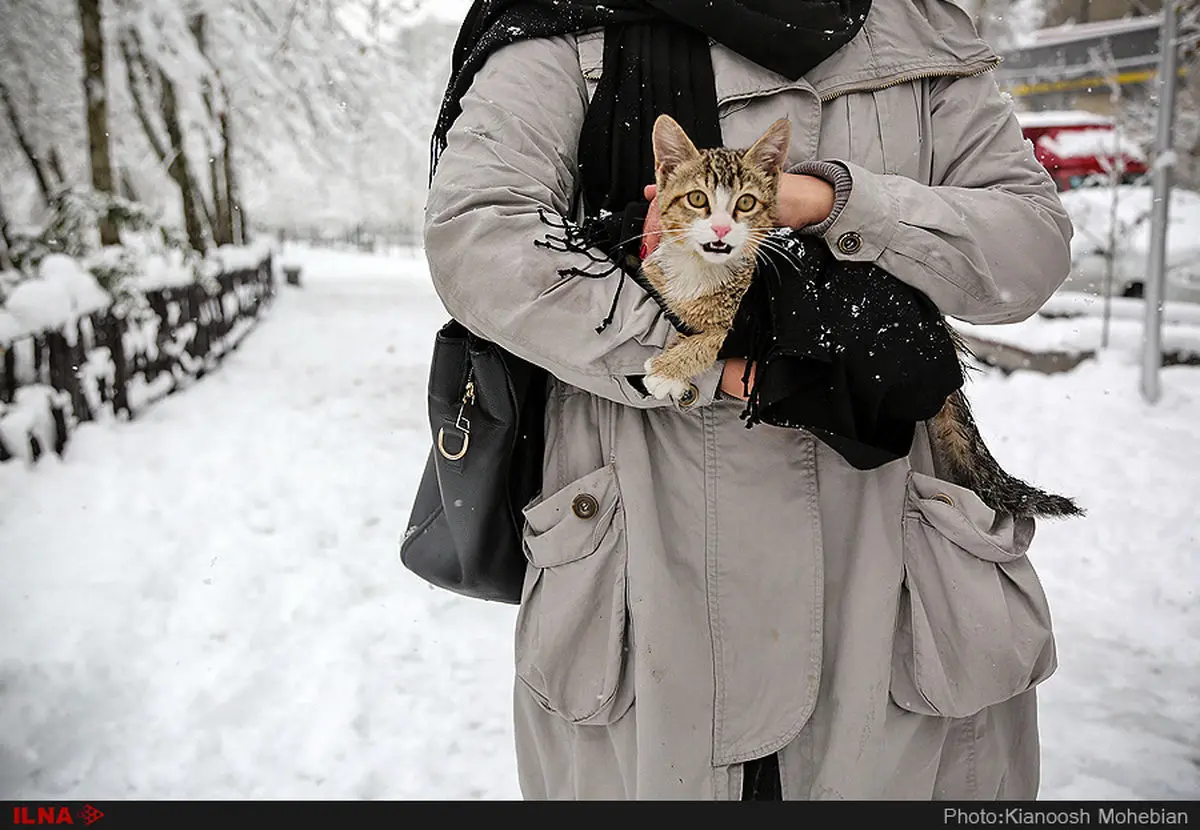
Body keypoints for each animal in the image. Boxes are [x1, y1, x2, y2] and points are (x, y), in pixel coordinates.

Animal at [643, 115, 1084, 518]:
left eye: (745, 203)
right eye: (697, 199)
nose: (720, 229)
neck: (705, 271)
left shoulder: (764, 317)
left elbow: (717, 336)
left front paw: (667, 368)